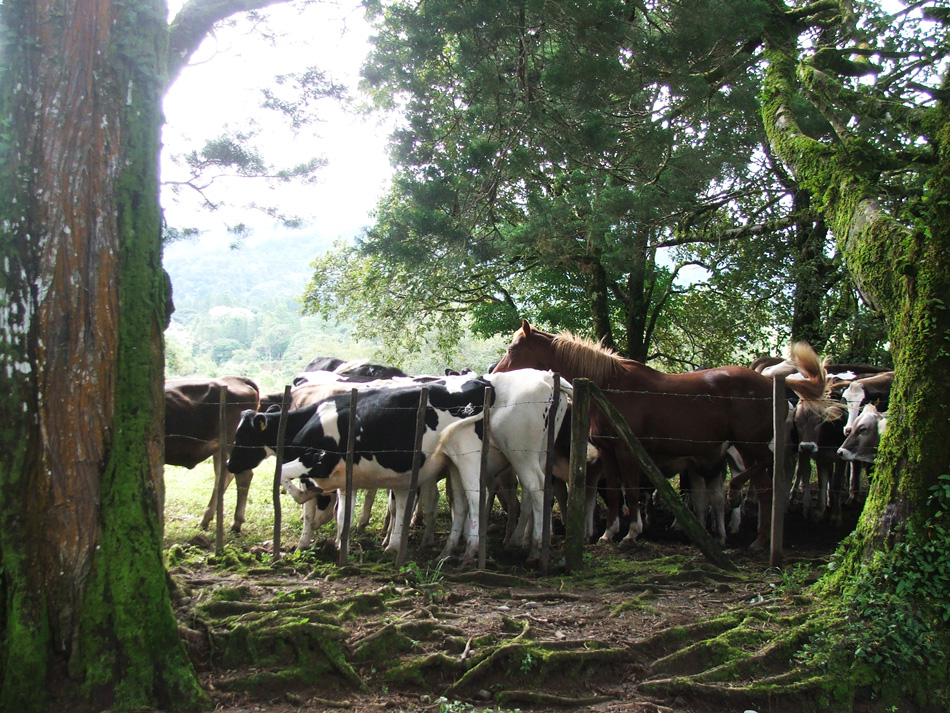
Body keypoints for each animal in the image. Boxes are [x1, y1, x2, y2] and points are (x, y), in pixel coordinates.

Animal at [490, 320, 832, 552]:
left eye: (513, 348)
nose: (494, 374)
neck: (609, 386)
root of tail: (771, 384)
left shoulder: (626, 452)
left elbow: (630, 492)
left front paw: (632, 532)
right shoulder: (609, 453)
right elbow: (613, 494)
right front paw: (608, 533)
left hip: (750, 445)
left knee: (762, 478)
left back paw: (744, 511)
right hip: (746, 448)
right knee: (764, 487)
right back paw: (759, 539)